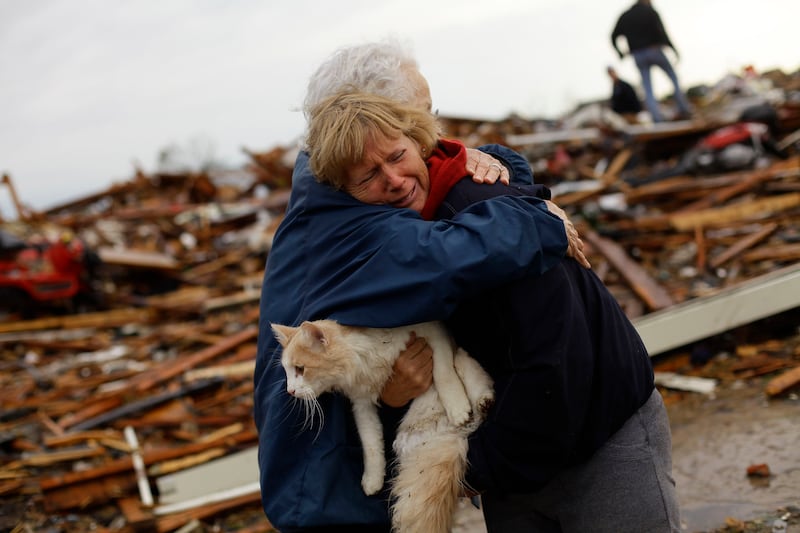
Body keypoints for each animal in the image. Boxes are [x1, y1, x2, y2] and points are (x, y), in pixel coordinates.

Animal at [272, 320, 490, 532]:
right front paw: (372, 479)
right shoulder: (361, 404)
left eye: (300, 369)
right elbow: (371, 445)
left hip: (463, 360)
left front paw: (457, 407)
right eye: (287, 372)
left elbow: (443, 372)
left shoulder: (434, 331)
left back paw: (482, 402)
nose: (290, 391)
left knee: (472, 377)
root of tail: (449, 436)